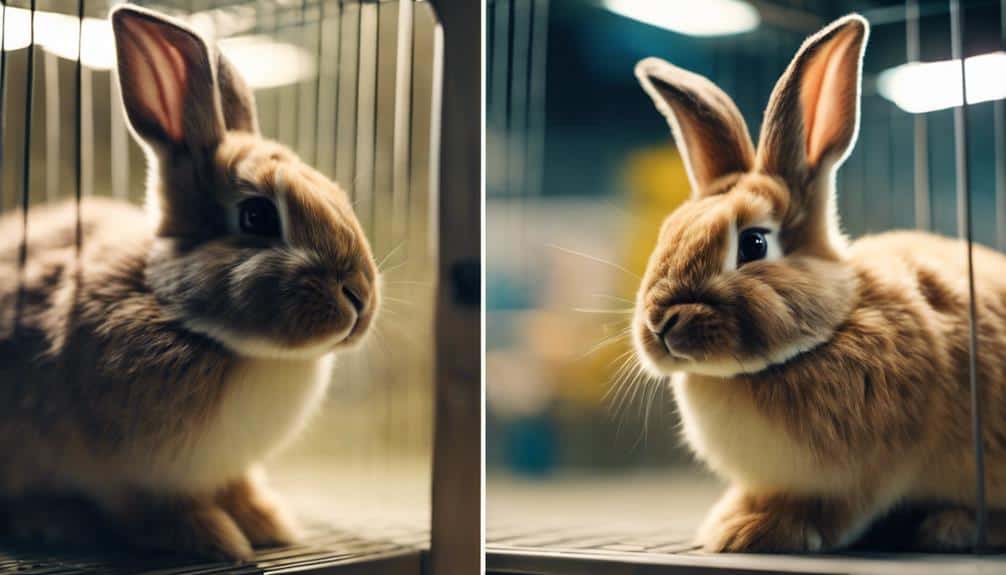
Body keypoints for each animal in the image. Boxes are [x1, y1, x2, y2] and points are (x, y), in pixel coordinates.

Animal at [0, 5, 378, 560]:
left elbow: (239, 488)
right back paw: (51, 521)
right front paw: (214, 539)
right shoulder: (128, 475)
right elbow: (154, 509)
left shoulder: (227, 468)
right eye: (257, 216)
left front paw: (267, 523)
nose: (360, 297)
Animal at [632, 13, 1006, 553]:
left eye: (754, 244)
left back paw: (952, 527)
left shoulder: (868, 473)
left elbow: (835, 511)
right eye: (668, 233)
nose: (661, 324)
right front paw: (729, 520)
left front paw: (751, 532)